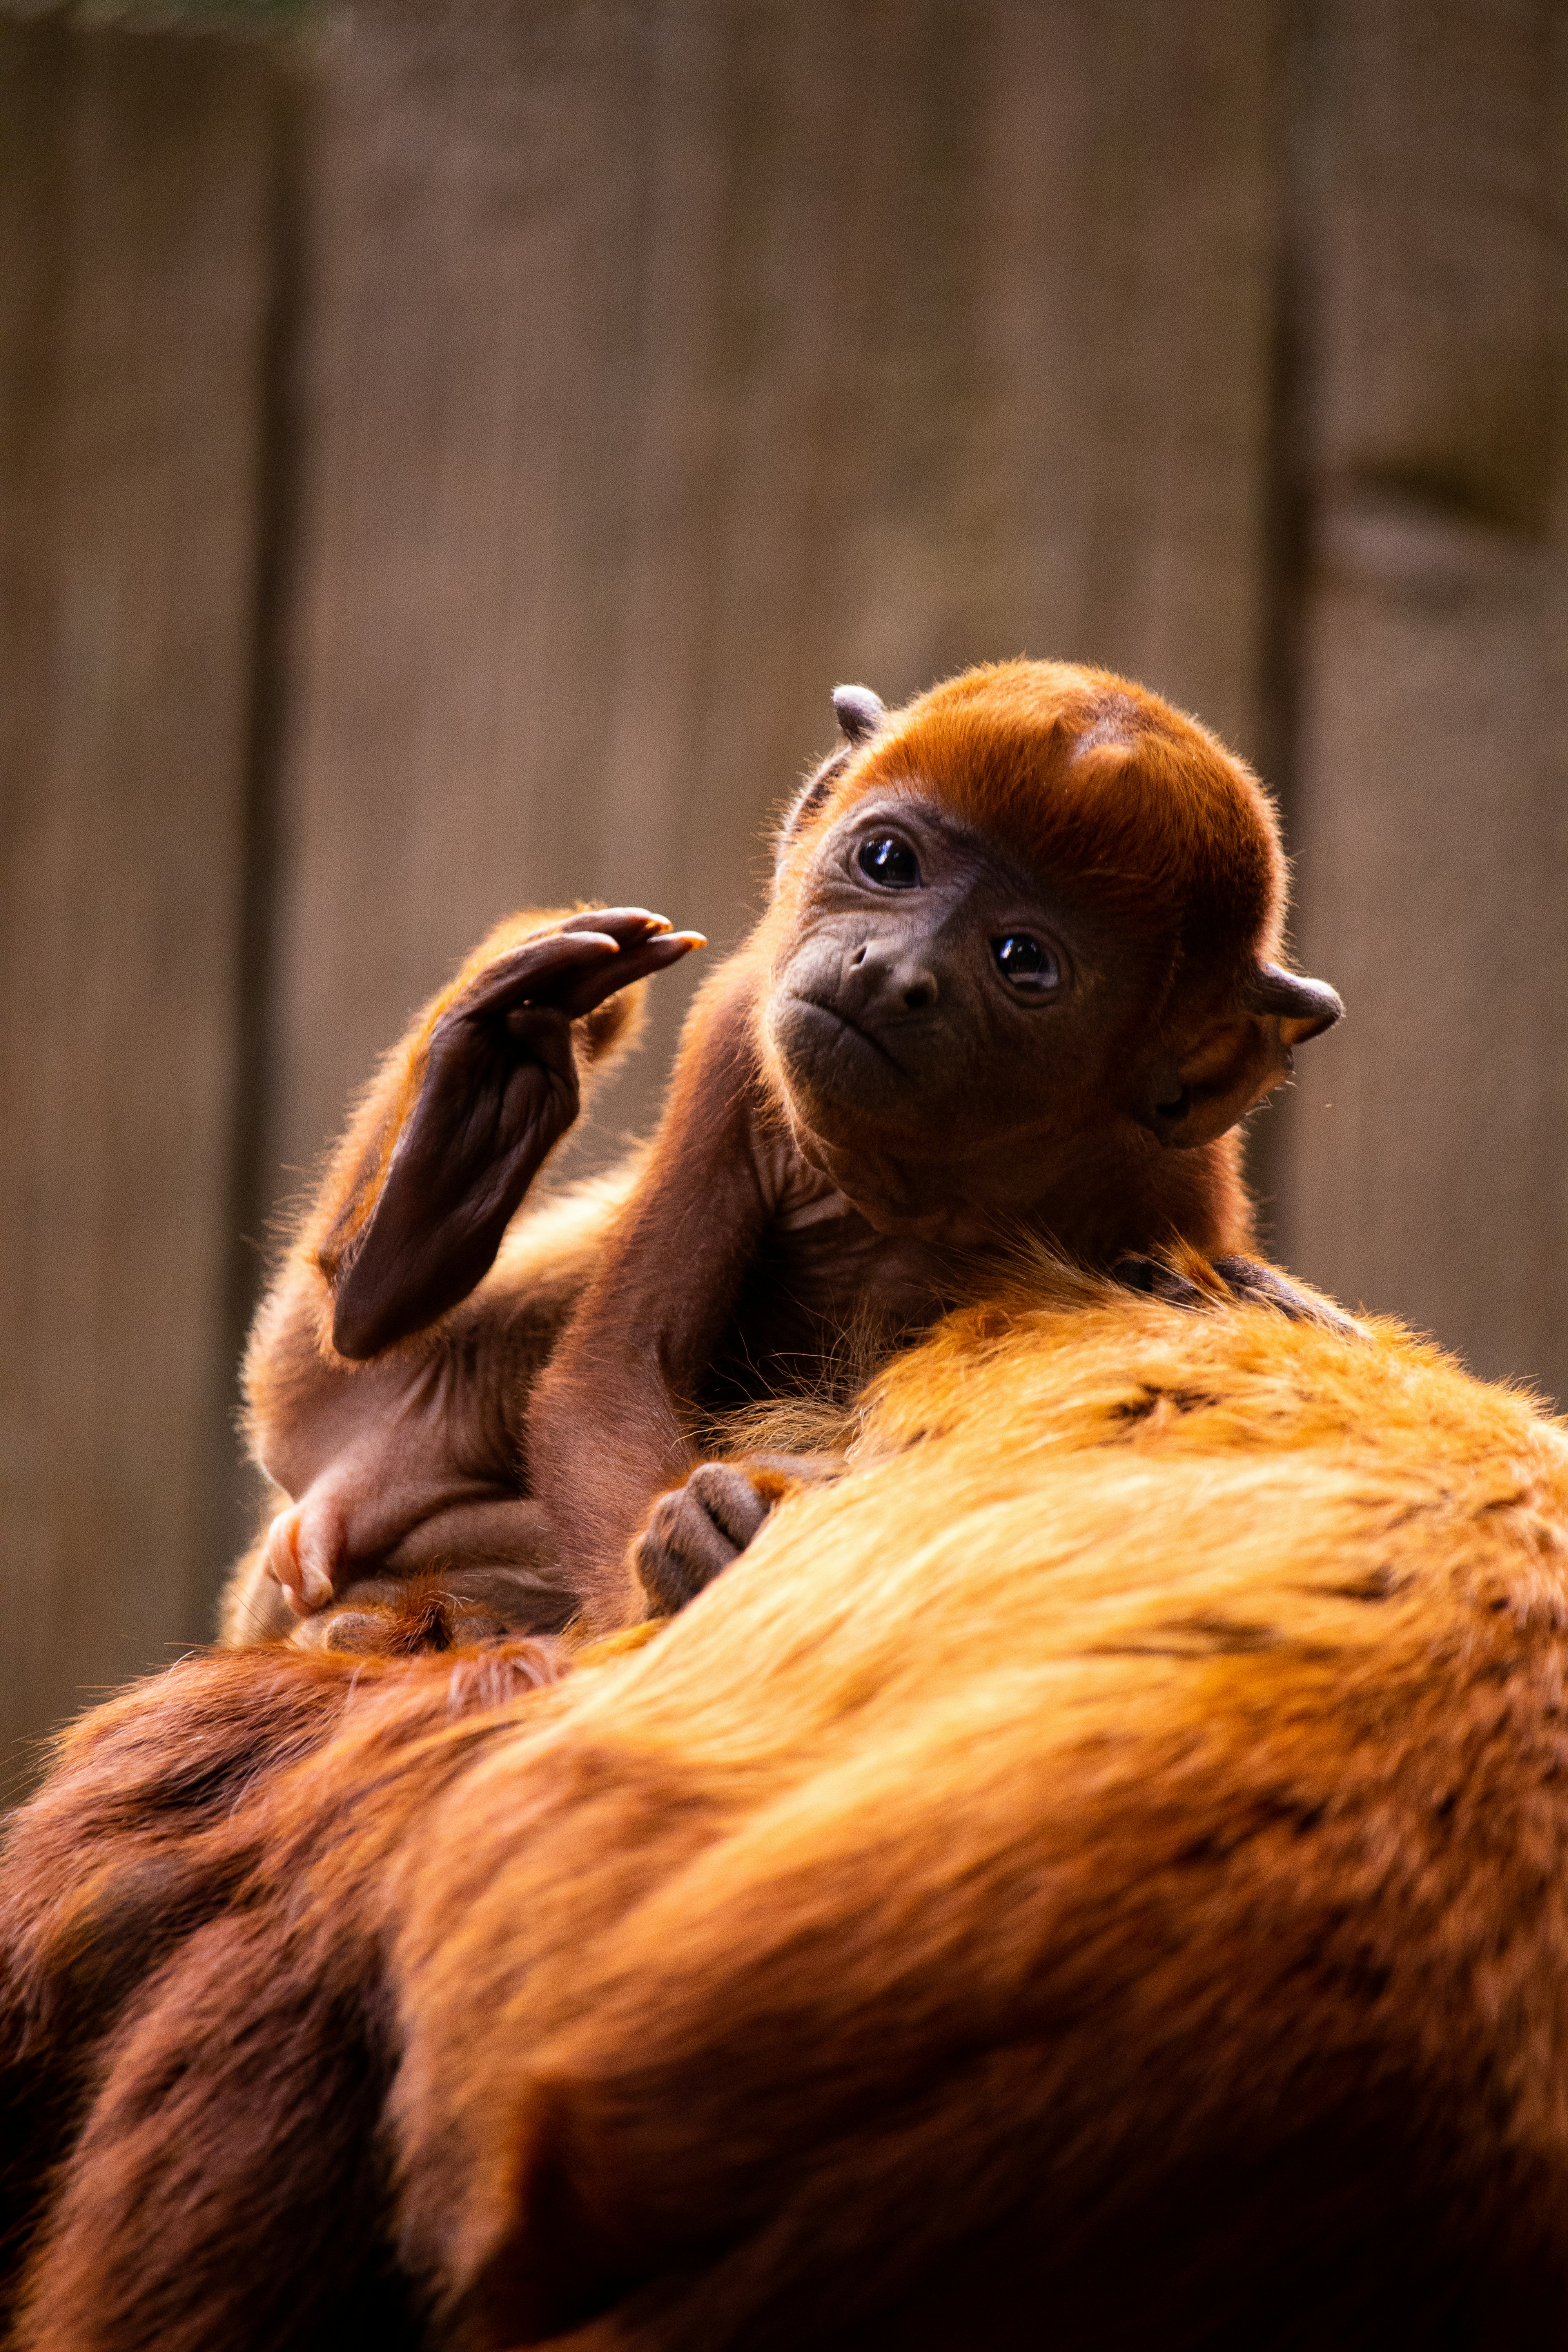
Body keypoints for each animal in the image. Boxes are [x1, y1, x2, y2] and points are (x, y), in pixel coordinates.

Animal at [229, 658, 1343, 1650]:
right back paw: (431, 1185)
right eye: (888, 863)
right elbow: (611, 1372)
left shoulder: (1174, 1176)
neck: (937, 1187)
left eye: (1021, 960)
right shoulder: (736, 1033)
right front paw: (690, 1557)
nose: (892, 972)